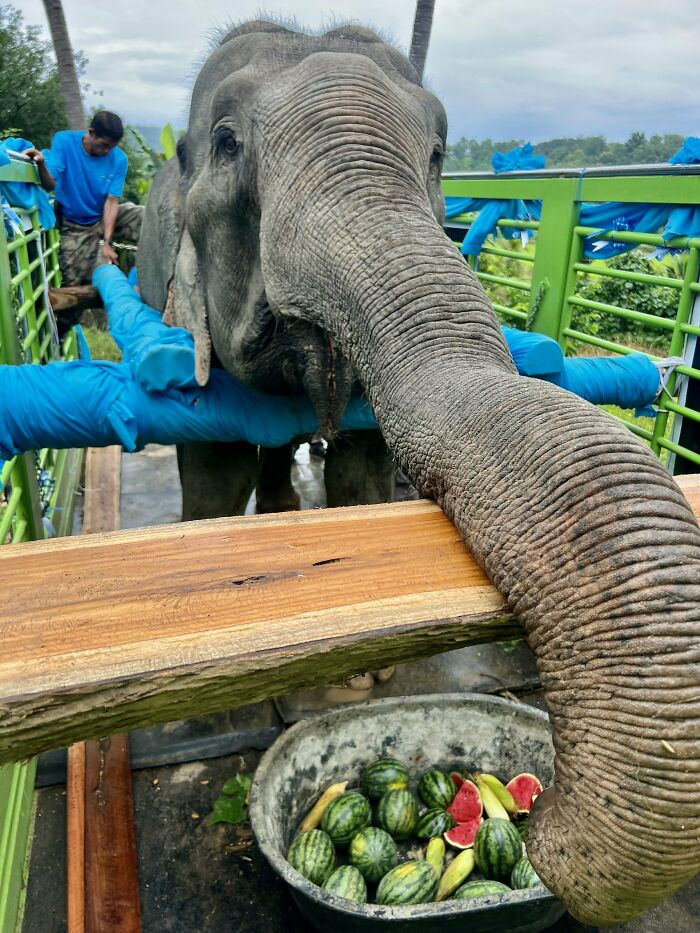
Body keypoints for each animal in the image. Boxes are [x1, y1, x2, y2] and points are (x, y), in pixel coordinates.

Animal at [137, 18, 700, 928]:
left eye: (438, 154)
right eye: (225, 144)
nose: (548, 824)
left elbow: (363, 475)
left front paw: (363, 679)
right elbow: (210, 476)